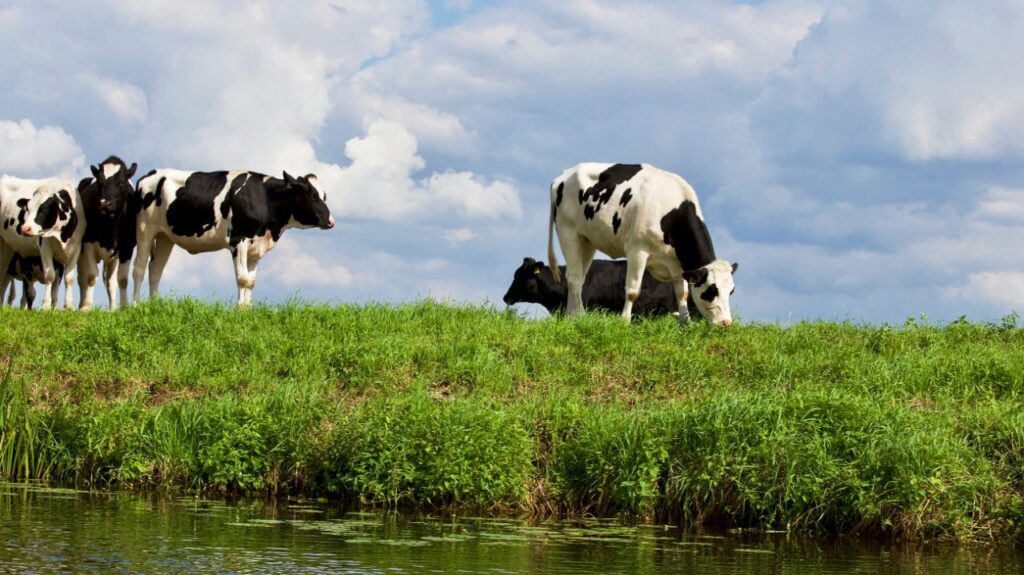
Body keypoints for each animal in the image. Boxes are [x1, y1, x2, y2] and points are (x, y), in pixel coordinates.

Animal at [0, 176, 84, 309]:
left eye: (44, 209)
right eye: (27, 209)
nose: (25, 228)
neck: (62, 235)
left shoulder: (76, 248)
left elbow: (69, 278)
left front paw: (69, 306)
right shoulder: (44, 247)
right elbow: (49, 276)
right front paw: (45, 306)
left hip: (7, 247)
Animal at [76, 155, 138, 310]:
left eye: (121, 183)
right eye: (99, 182)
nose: (104, 203)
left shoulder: (127, 247)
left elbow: (122, 279)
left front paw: (123, 307)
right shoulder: (87, 243)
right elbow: (91, 276)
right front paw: (87, 307)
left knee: (110, 281)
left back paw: (112, 308)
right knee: (81, 279)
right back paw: (80, 304)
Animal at [129, 169, 335, 307]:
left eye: (324, 195)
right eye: (312, 195)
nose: (330, 221)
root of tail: (151, 174)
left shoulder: (256, 247)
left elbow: (251, 281)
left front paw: (247, 310)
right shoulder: (239, 240)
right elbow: (242, 279)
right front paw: (239, 311)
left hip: (165, 237)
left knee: (155, 270)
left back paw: (155, 306)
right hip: (145, 229)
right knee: (139, 269)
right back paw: (136, 306)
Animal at [547, 163, 737, 327]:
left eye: (731, 291)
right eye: (712, 291)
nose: (726, 323)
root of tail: (564, 175)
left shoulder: (676, 265)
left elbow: (682, 293)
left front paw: (686, 322)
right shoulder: (637, 251)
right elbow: (633, 291)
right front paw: (624, 321)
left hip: (587, 240)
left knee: (579, 277)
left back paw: (572, 316)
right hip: (568, 232)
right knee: (573, 277)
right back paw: (579, 314)